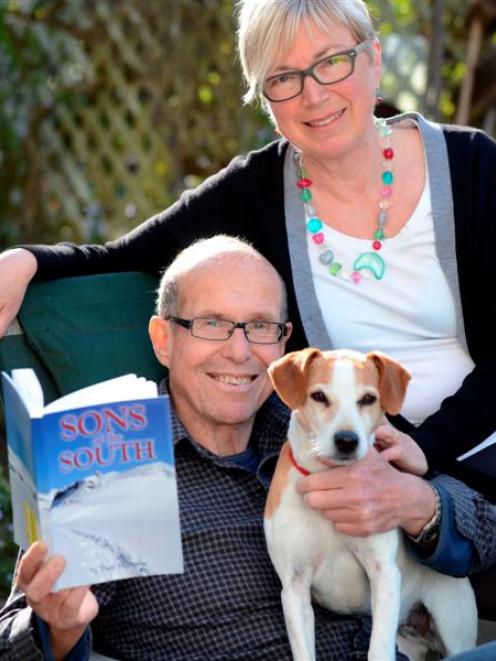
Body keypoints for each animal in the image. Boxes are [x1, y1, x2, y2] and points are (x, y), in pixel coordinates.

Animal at [264, 348, 476, 656]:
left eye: (368, 399)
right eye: (319, 396)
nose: (346, 440)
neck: (333, 480)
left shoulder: (383, 572)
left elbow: (378, 649)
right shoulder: (294, 585)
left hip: (453, 625)